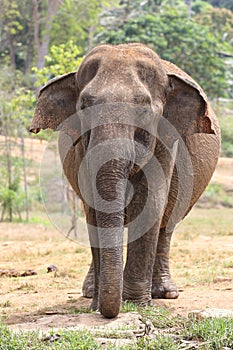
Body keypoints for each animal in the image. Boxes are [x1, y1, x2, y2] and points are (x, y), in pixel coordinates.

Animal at [29, 42, 220, 318]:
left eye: (143, 109)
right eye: (84, 106)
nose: (107, 311)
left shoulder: (165, 141)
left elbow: (151, 203)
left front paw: (136, 305)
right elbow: (93, 207)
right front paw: (98, 305)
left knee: (167, 224)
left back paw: (165, 293)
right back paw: (90, 292)